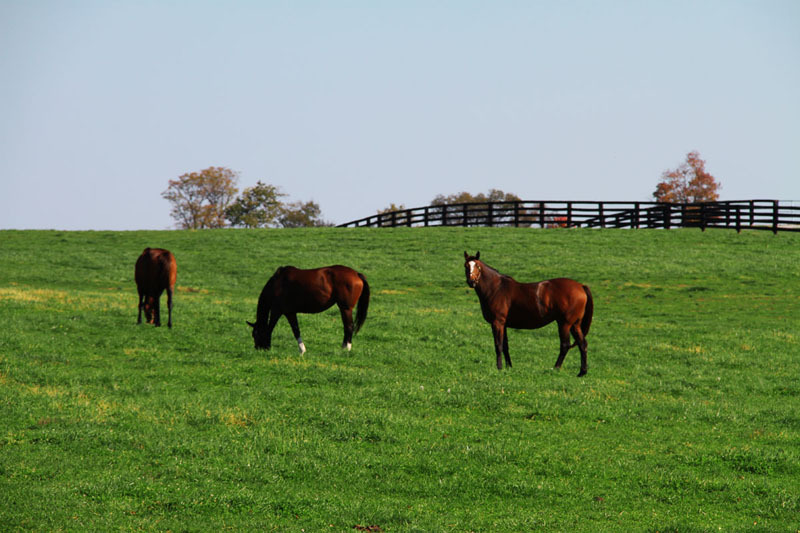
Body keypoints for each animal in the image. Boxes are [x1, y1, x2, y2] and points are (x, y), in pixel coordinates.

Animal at [462, 251, 592, 376]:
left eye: (477, 266)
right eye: (466, 266)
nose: (471, 281)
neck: (496, 288)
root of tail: (581, 286)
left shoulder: (497, 323)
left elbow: (498, 345)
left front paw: (499, 368)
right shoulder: (504, 324)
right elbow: (505, 346)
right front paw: (509, 367)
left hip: (565, 324)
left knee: (565, 345)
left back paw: (556, 368)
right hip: (575, 325)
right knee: (582, 344)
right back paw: (582, 372)